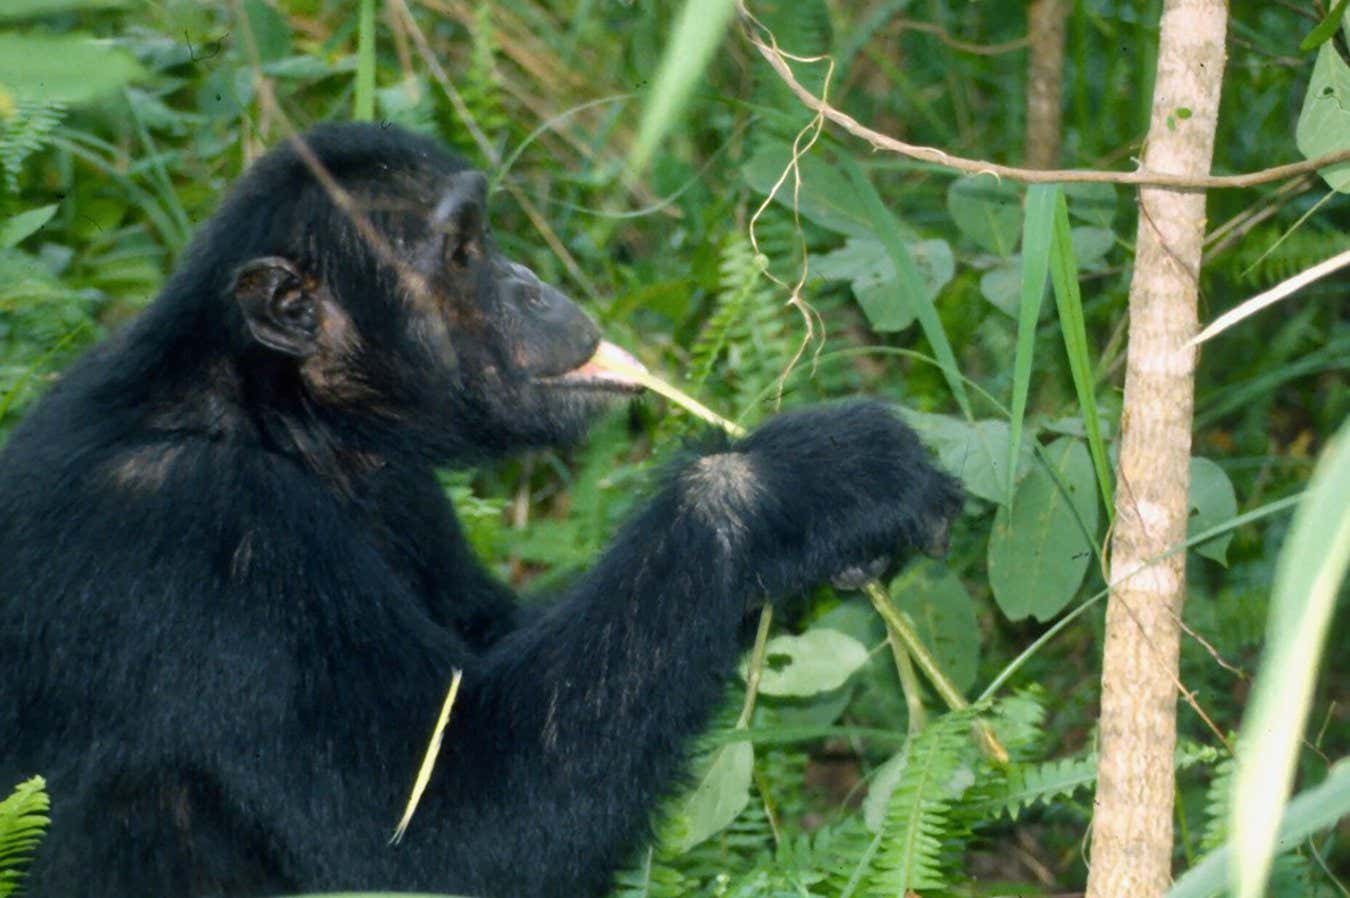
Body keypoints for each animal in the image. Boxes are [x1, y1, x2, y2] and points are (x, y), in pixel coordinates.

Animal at [0, 120, 961, 896]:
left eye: (485, 236)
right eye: (462, 252)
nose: (530, 279)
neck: (279, 412)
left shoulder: (400, 486)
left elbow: (499, 649)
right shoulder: (206, 528)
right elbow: (445, 817)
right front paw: (803, 484)